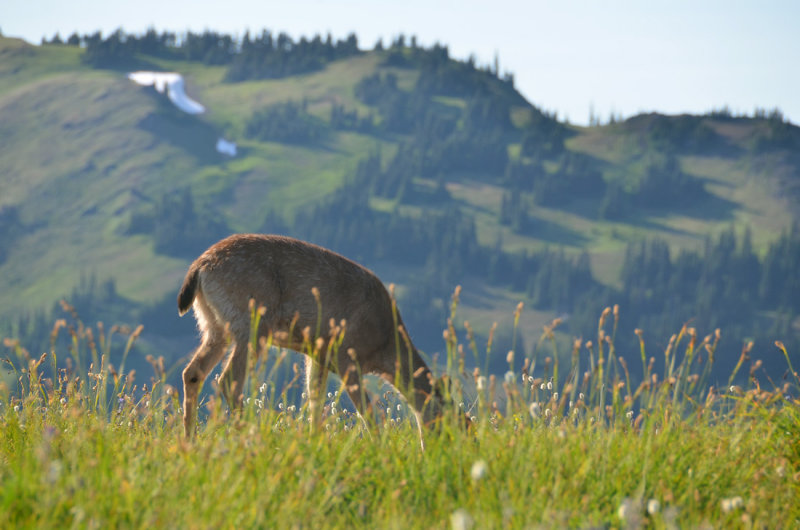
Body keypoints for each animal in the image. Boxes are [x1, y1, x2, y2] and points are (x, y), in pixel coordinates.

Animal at [177, 233, 450, 440]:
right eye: (451, 420)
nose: (439, 450)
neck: (384, 345)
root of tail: (200, 267)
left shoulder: (318, 353)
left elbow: (314, 398)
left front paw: (314, 439)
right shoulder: (346, 355)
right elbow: (365, 409)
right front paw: (379, 446)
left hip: (214, 325)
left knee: (193, 372)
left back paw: (190, 438)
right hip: (253, 323)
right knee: (229, 378)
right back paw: (247, 434)